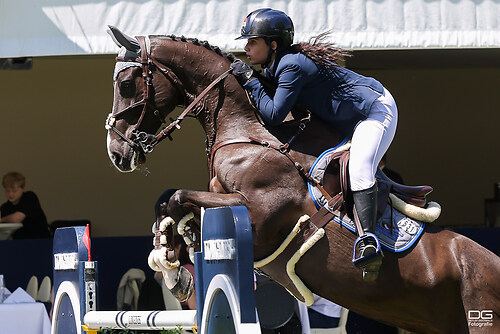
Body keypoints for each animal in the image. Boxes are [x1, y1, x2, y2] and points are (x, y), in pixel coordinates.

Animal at [106, 26, 500, 334]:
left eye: (126, 84)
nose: (116, 153)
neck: (245, 131)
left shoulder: (258, 218)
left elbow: (177, 196)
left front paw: (171, 260)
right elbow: (172, 204)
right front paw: (171, 259)